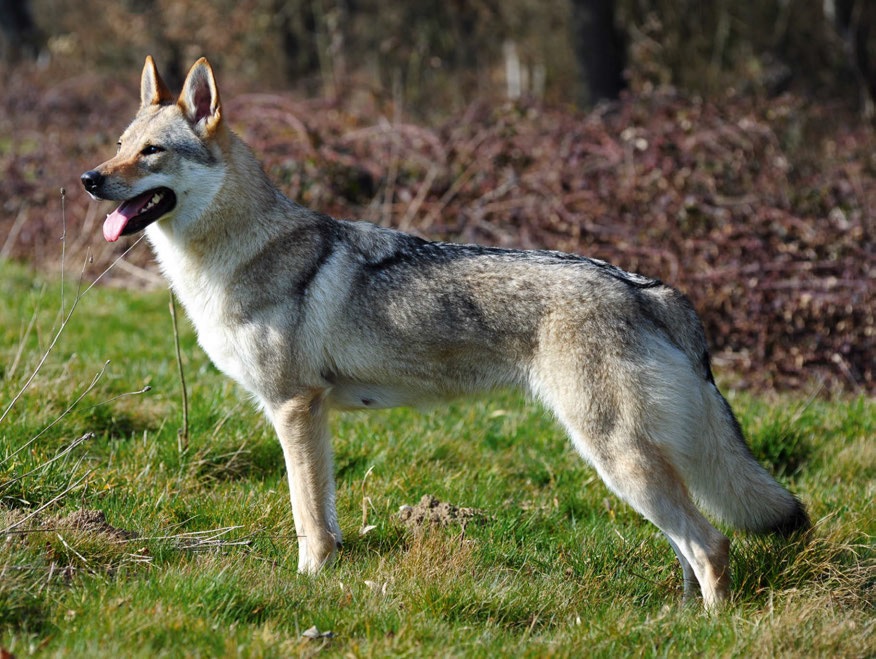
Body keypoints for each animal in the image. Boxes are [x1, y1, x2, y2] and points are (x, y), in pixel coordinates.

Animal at [82, 56, 808, 612]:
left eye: (151, 152)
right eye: (117, 144)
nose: (89, 178)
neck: (235, 255)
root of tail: (648, 288)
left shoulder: (294, 408)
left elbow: (308, 519)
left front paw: (310, 584)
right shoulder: (311, 415)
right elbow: (325, 515)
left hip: (617, 457)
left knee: (712, 543)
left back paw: (709, 627)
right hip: (638, 465)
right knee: (690, 546)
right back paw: (673, 618)